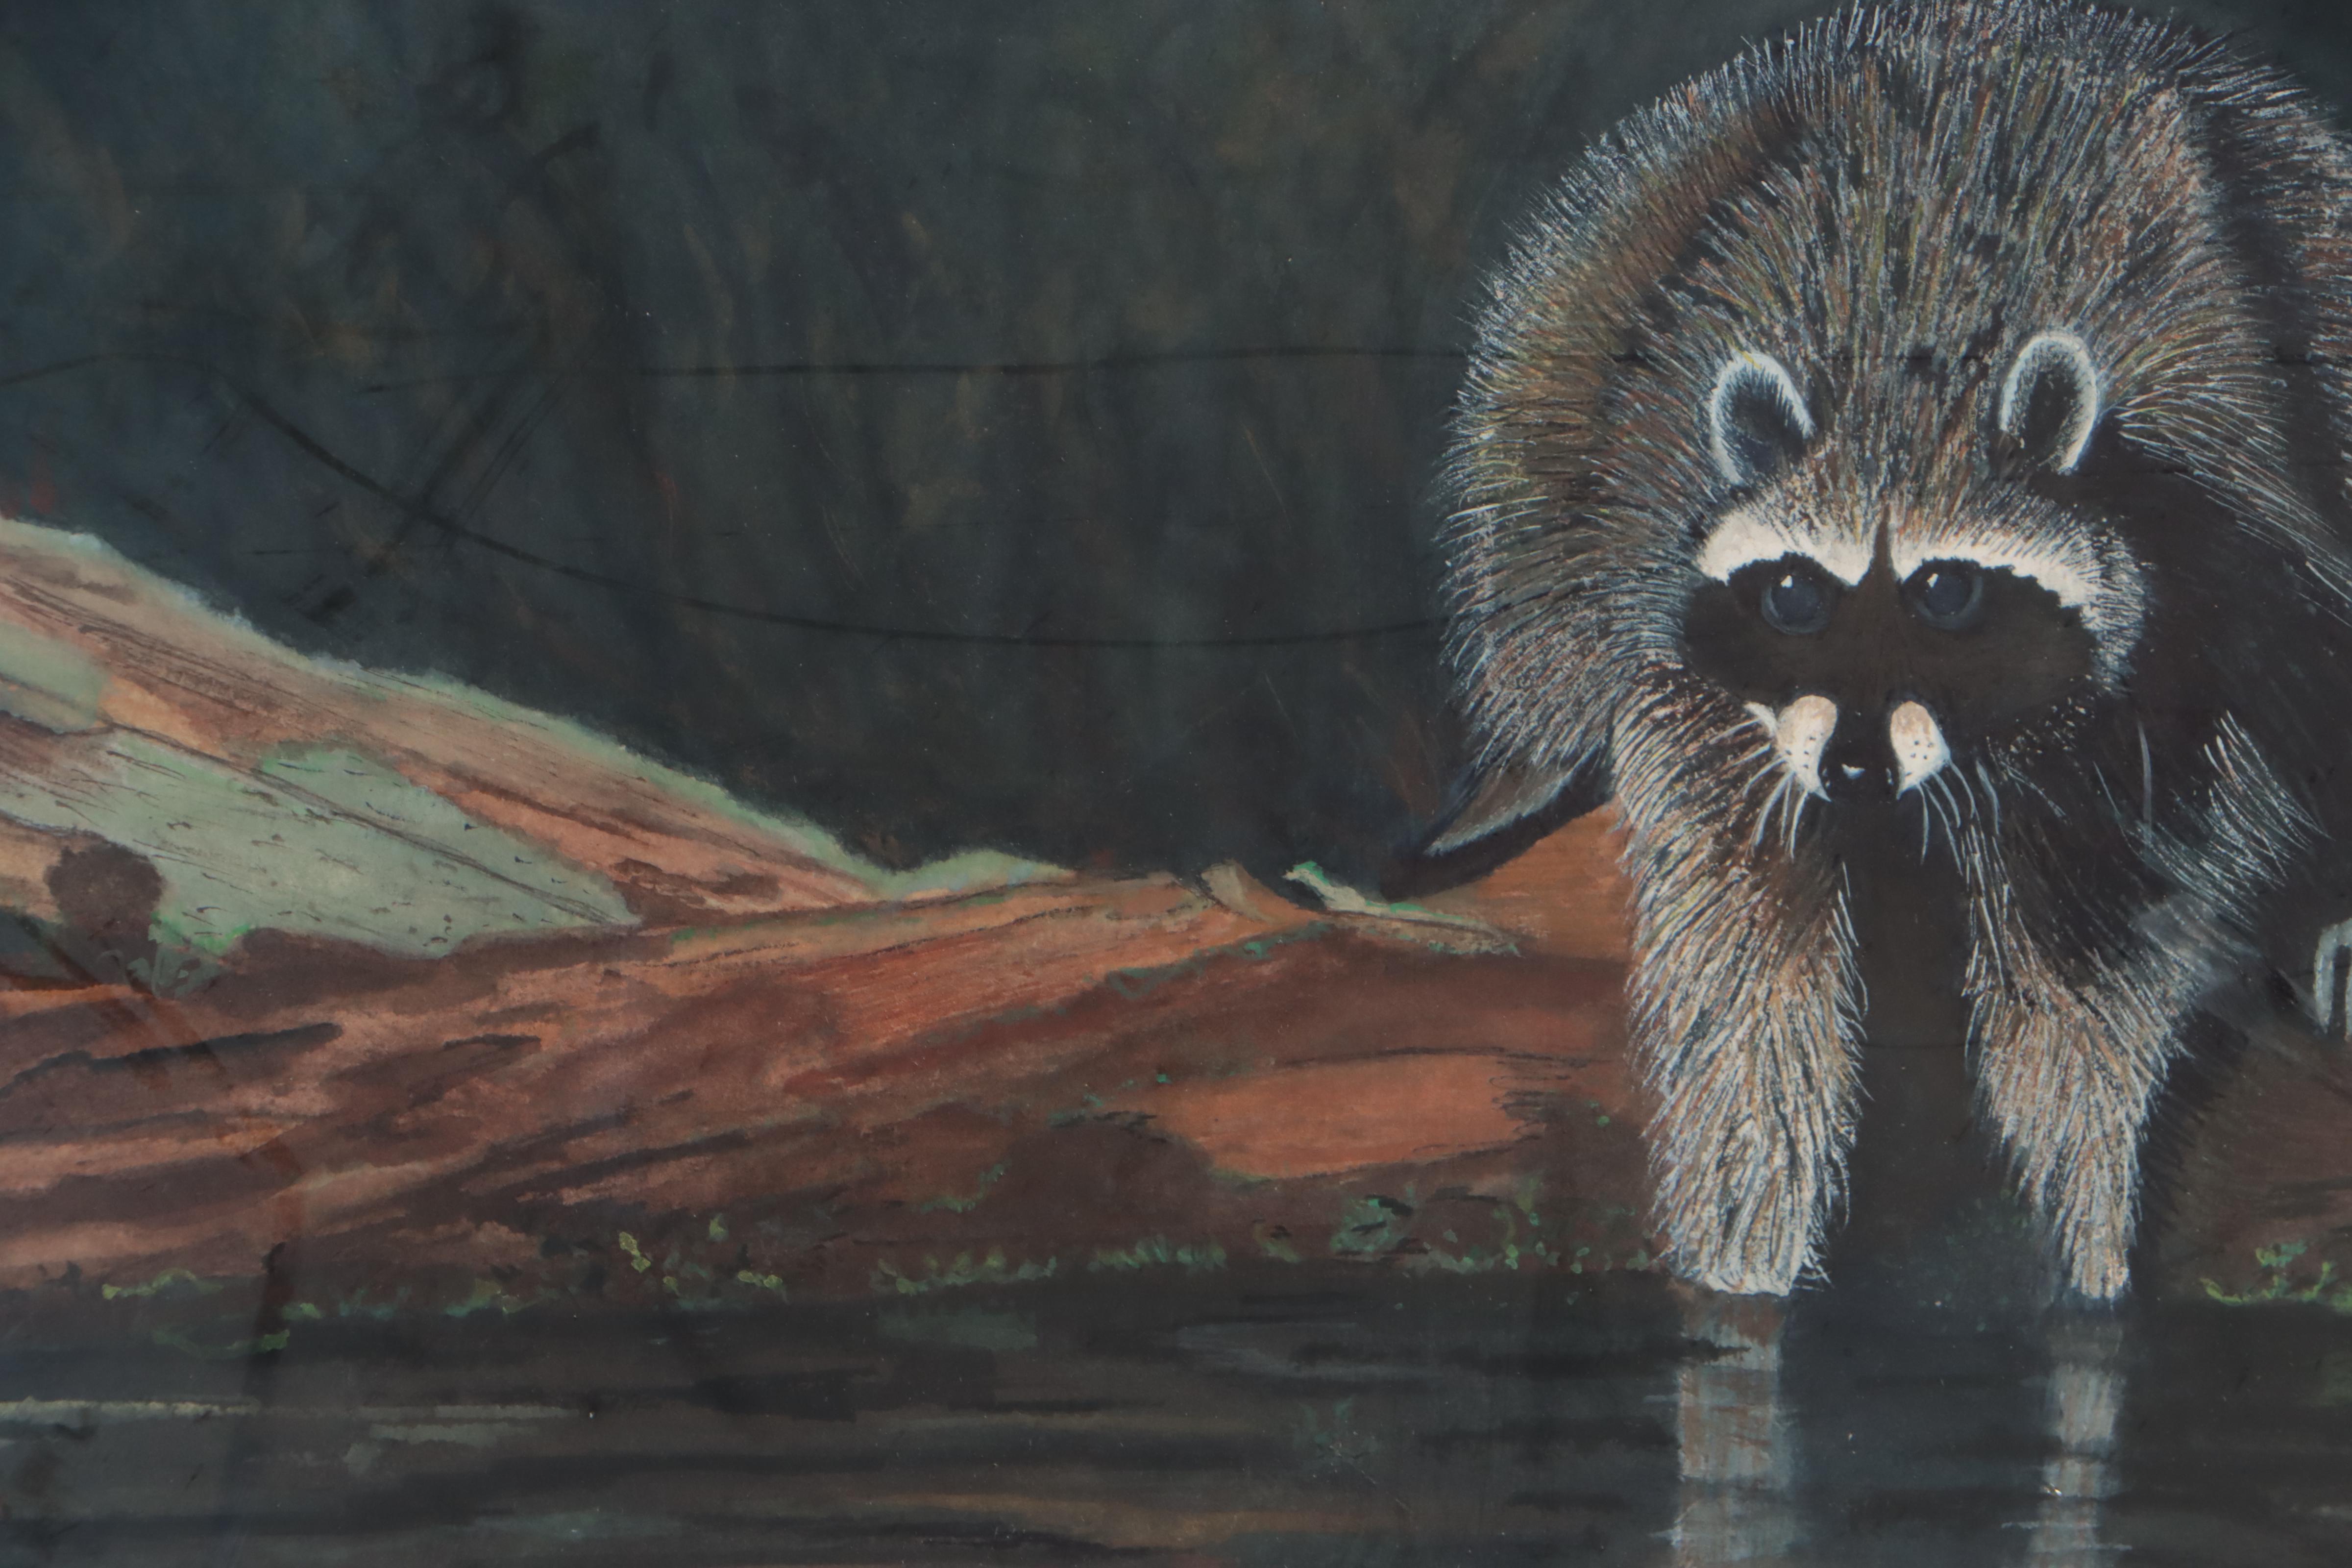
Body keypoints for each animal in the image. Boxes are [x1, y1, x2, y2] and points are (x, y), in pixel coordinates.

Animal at [1434, 0, 2352, 1300]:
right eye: (1793, 594)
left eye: (1947, 591)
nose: (1859, 770)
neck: (1900, 392)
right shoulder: (1688, 617)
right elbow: (1739, 961)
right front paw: (1742, 1262)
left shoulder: (2200, 584)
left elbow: (2096, 945)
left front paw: (2087, 1233)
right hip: (1586, 314)